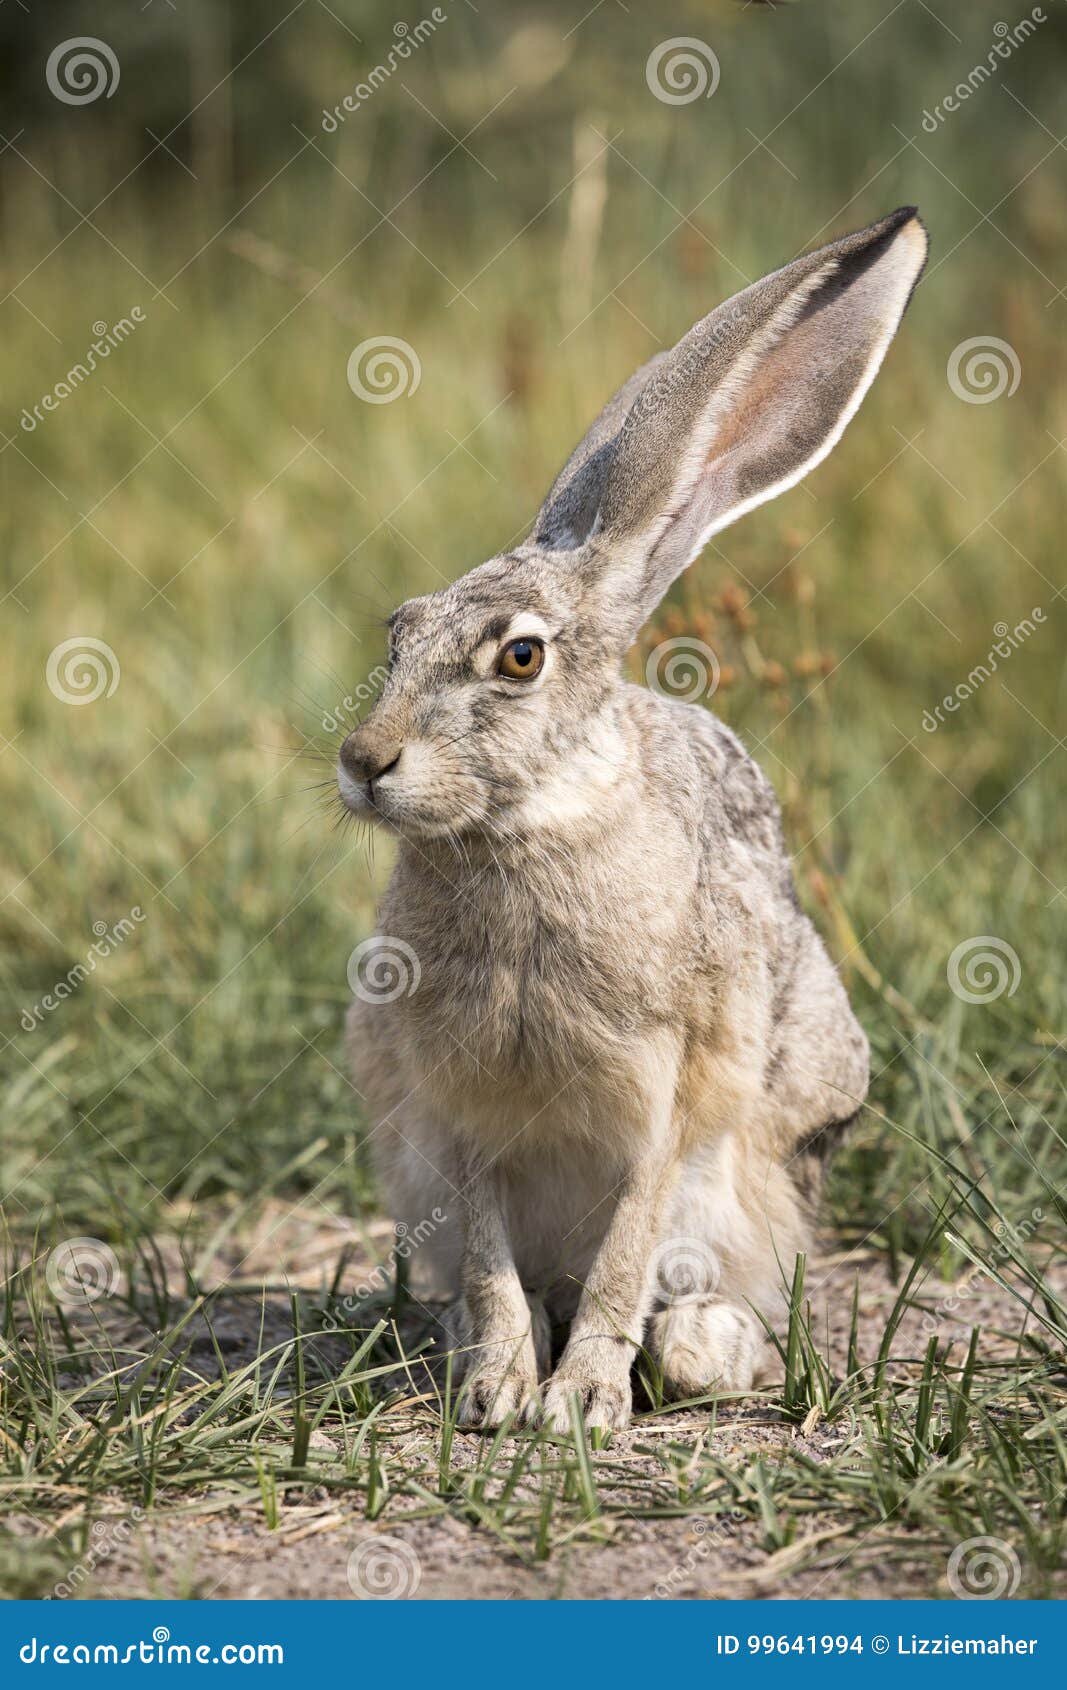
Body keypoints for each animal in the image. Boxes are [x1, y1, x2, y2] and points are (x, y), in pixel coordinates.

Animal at [339, 206, 928, 1431]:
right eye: (397, 632)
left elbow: (624, 1248)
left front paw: (578, 1404)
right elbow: (487, 1261)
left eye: (520, 658)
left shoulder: (664, 1101)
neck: (522, 829)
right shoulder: (451, 1115)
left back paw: (699, 1347)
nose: (363, 763)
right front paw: (502, 1389)